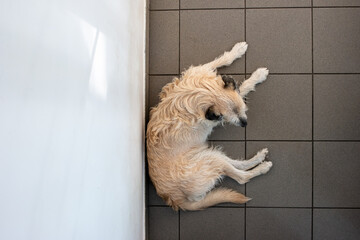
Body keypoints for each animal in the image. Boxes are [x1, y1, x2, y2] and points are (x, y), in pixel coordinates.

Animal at [146, 42, 272, 210]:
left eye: (243, 109)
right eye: (231, 118)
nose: (244, 124)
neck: (204, 93)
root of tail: (175, 198)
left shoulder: (201, 71)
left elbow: (221, 60)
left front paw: (238, 50)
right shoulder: (216, 116)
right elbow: (243, 87)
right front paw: (257, 76)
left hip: (207, 155)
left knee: (237, 164)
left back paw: (259, 157)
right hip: (209, 161)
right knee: (241, 177)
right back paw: (263, 167)